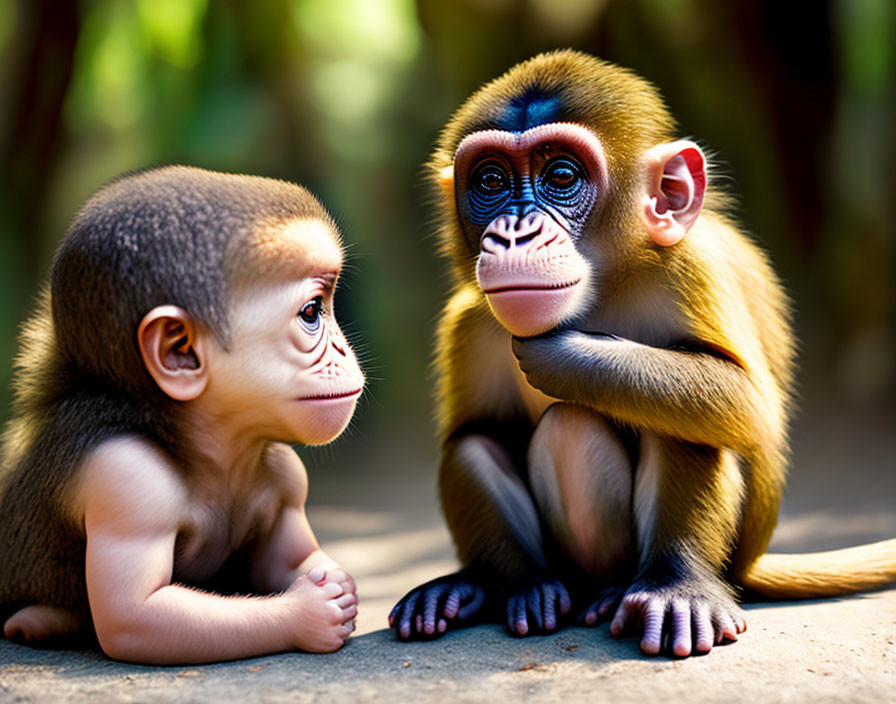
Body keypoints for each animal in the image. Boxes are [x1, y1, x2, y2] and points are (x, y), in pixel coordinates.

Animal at [0, 168, 364, 664]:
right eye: (312, 312)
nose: (344, 351)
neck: (207, 442)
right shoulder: (128, 481)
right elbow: (136, 613)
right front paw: (309, 612)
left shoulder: (285, 472)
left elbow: (290, 561)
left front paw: (336, 583)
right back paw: (42, 621)